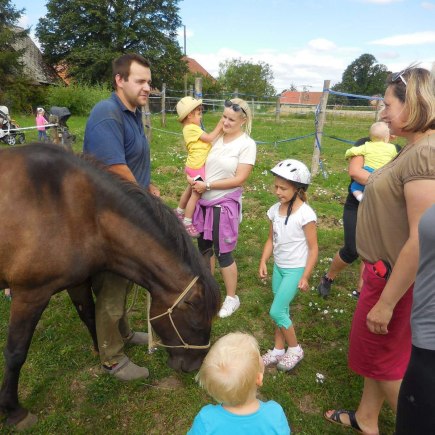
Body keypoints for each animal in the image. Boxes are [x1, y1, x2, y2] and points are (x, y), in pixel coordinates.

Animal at [0, 144, 218, 430]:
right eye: (197, 321)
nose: (194, 366)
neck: (74, 209)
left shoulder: (77, 281)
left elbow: (91, 317)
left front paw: (104, 357)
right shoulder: (29, 295)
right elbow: (15, 353)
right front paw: (14, 411)